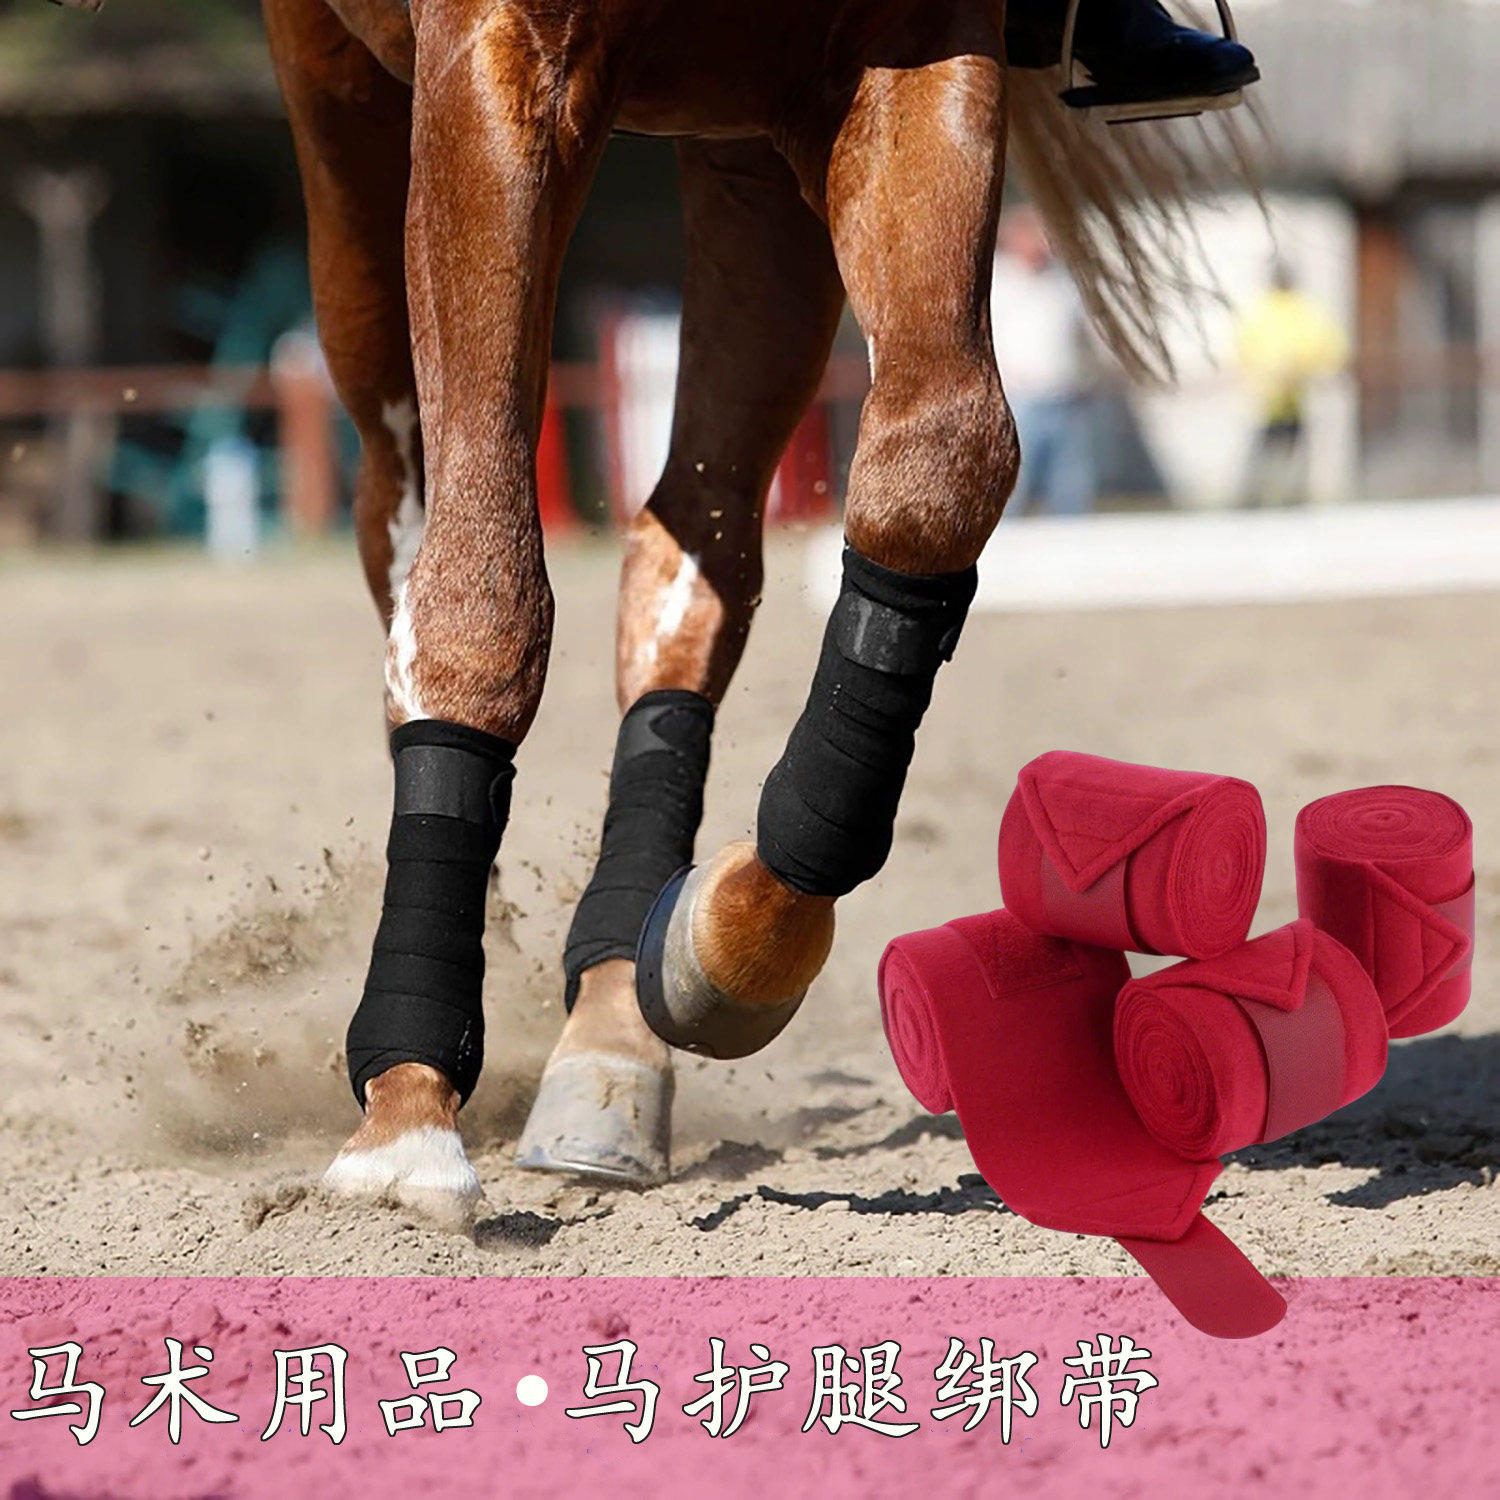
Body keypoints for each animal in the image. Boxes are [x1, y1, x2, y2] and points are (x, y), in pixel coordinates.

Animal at [77, 0, 1242, 1224]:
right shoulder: (492, 66)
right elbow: (482, 596)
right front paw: (407, 1119)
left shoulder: (910, 58)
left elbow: (941, 462)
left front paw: (726, 942)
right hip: (342, 111)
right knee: (404, 509)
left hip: (743, 161)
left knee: (693, 541)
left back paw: (614, 1037)